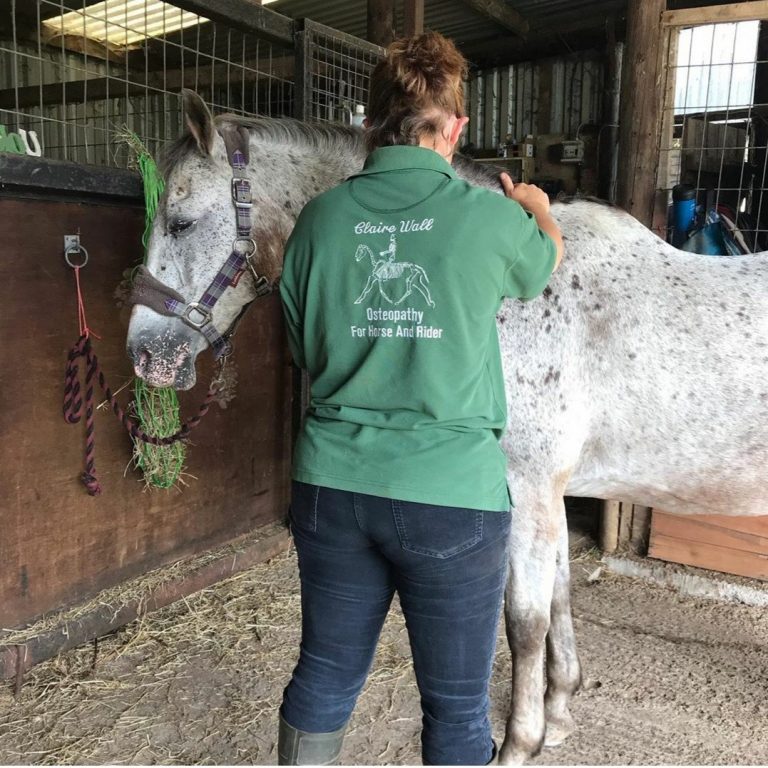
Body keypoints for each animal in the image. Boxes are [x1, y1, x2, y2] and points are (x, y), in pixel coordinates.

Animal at [126, 91, 768, 765]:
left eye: (180, 223)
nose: (145, 355)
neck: (522, 296)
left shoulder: (528, 489)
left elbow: (525, 623)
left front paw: (521, 742)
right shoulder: (551, 492)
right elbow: (561, 595)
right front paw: (560, 710)